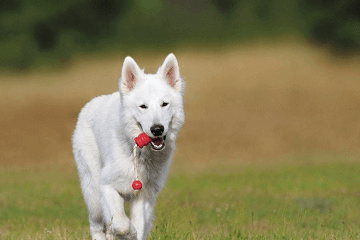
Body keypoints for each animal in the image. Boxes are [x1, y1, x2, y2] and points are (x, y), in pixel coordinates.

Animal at [73, 53, 186, 239]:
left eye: (164, 104)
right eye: (143, 106)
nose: (157, 129)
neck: (140, 155)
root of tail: (89, 105)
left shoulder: (144, 196)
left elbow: (137, 225)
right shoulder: (107, 185)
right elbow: (122, 224)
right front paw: (128, 232)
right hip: (94, 195)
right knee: (96, 226)